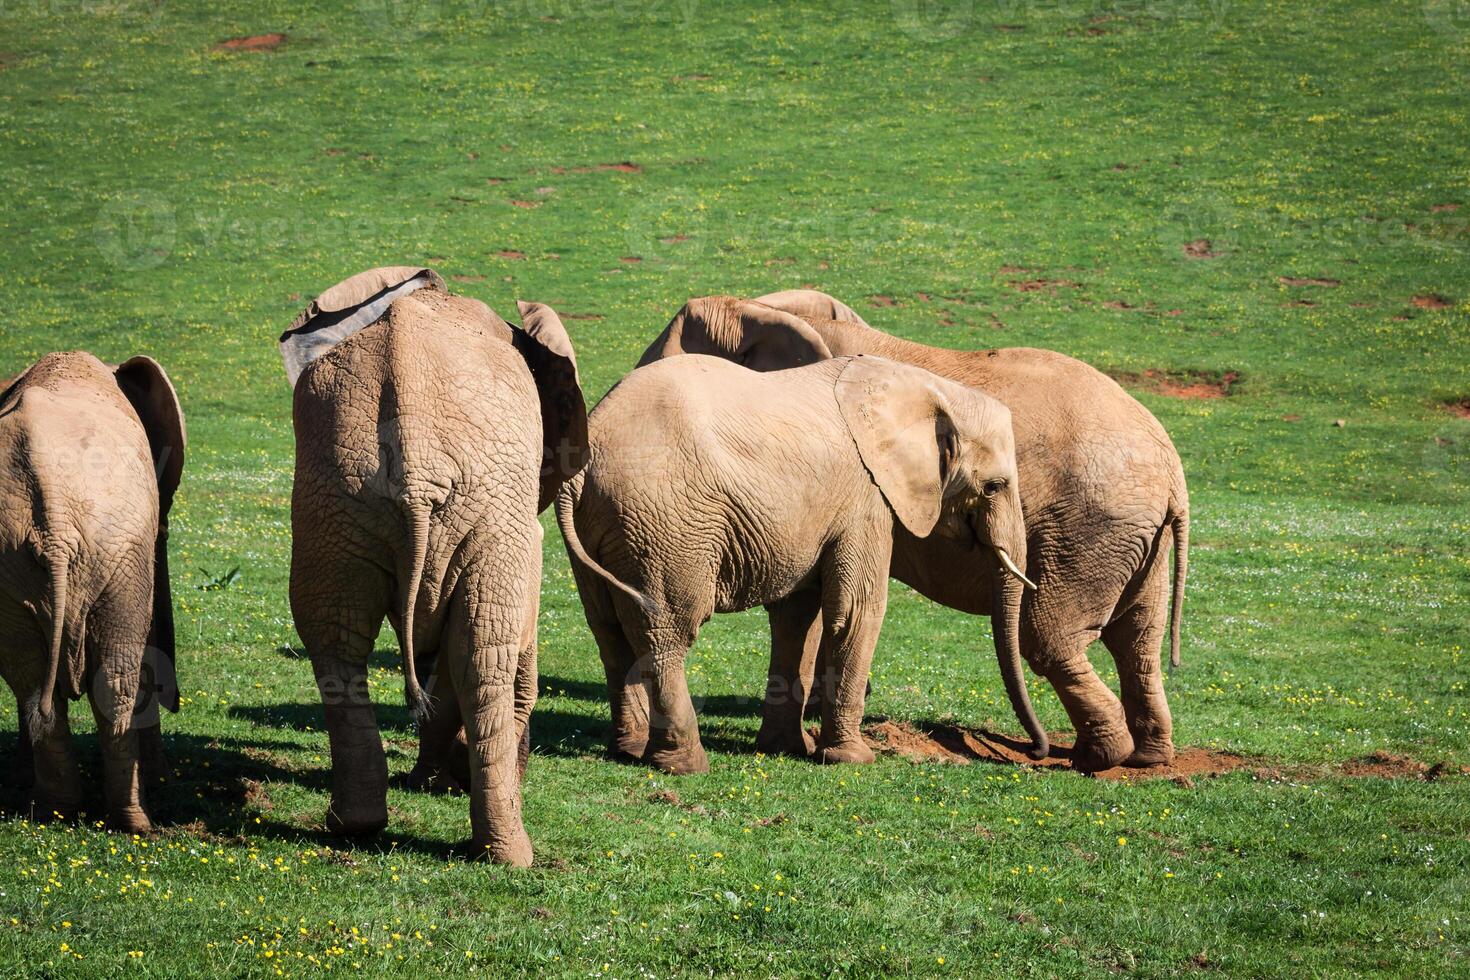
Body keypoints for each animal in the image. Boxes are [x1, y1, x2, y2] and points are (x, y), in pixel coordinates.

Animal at [0, 351, 186, 828]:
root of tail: (55, 527)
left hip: (29, 562)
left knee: (33, 683)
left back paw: (56, 811)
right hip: (118, 548)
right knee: (111, 680)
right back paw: (133, 821)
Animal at [280, 268, 585, 863]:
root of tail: (417, 459)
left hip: (334, 497)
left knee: (337, 638)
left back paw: (355, 826)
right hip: (483, 504)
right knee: (482, 651)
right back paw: (508, 852)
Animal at [552, 351, 1046, 775]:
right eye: (995, 486)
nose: (1035, 751)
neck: (928, 388)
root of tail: (586, 461)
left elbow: (796, 617)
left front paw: (786, 749)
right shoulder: (867, 498)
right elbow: (858, 610)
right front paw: (853, 760)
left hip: (605, 526)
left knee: (609, 630)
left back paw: (628, 751)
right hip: (664, 523)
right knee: (667, 629)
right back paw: (685, 765)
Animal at [637, 293, 1187, 775]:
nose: (1034, 749)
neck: (759, 309)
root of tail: (1172, 470)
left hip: (1091, 528)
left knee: (1051, 638)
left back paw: (1099, 758)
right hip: (1134, 537)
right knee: (1137, 641)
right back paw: (1144, 758)